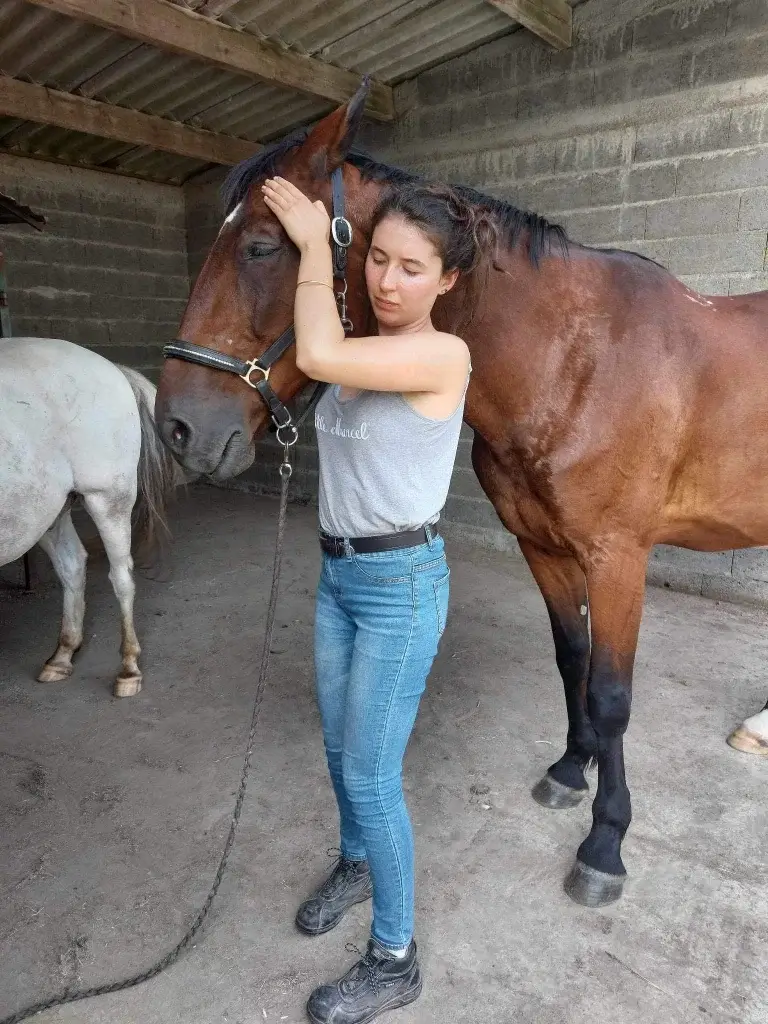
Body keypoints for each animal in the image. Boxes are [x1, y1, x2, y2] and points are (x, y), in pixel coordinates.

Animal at [1, 337, 178, 697]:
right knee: (72, 565)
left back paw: (128, 670)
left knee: (121, 577)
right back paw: (62, 656)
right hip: (49, 509)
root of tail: (112, 368)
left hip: (107, 497)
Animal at [155, 80, 768, 907]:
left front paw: (605, 843)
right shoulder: (543, 545)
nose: (179, 426)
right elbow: (571, 659)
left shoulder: (618, 559)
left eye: (259, 245)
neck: (577, 359)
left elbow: (611, 695)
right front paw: (570, 770)